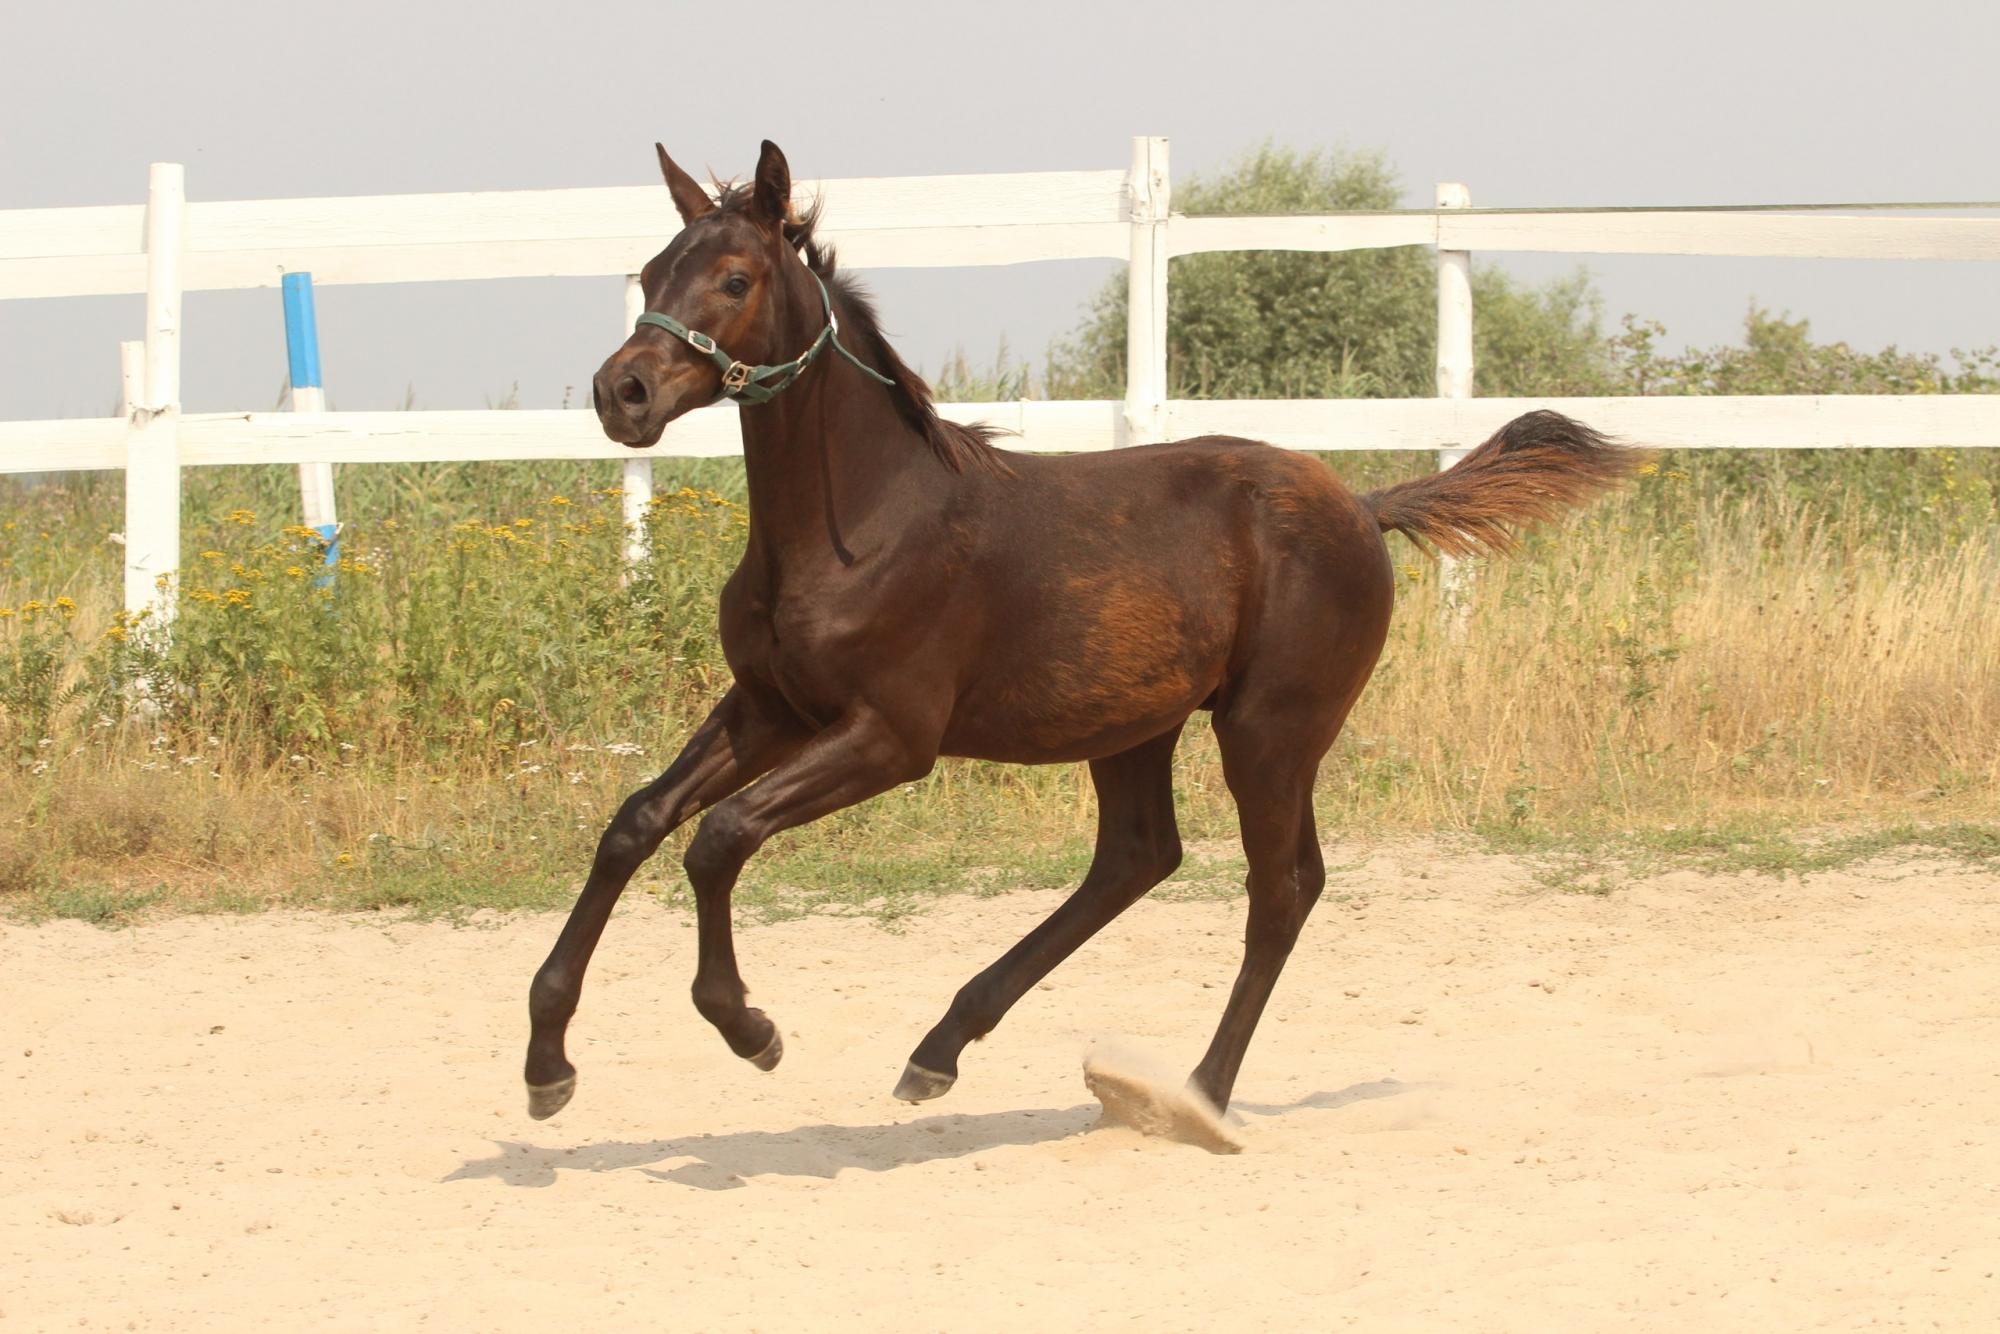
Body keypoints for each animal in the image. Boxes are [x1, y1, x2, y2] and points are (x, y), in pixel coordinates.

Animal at [524, 141, 1632, 1128]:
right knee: (1140, 857)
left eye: (735, 277)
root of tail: (1362, 504)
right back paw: (941, 1049)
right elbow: (635, 820)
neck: (859, 522)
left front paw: (747, 1027)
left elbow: (718, 837)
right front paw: (546, 1060)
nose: (621, 393)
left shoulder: (890, 735)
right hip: (1133, 723)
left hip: (1269, 729)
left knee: (1277, 888)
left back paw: (1197, 1095)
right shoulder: (769, 709)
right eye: (650, 272)